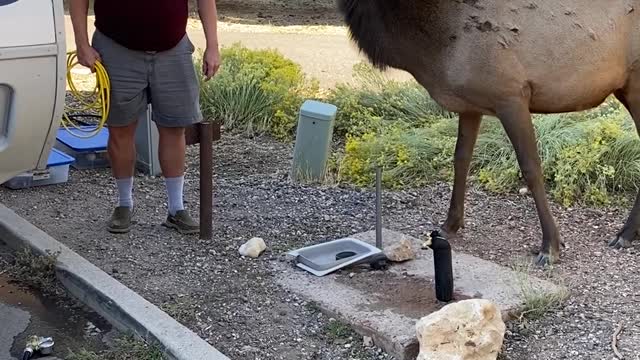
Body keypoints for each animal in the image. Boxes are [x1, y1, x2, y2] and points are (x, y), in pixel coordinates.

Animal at [338, 0, 640, 264]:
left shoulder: (511, 94)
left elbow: (531, 168)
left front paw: (550, 246)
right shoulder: (470, 104)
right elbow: (461, 159)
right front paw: (450, 224)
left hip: (634, 83)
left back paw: (625, 233)